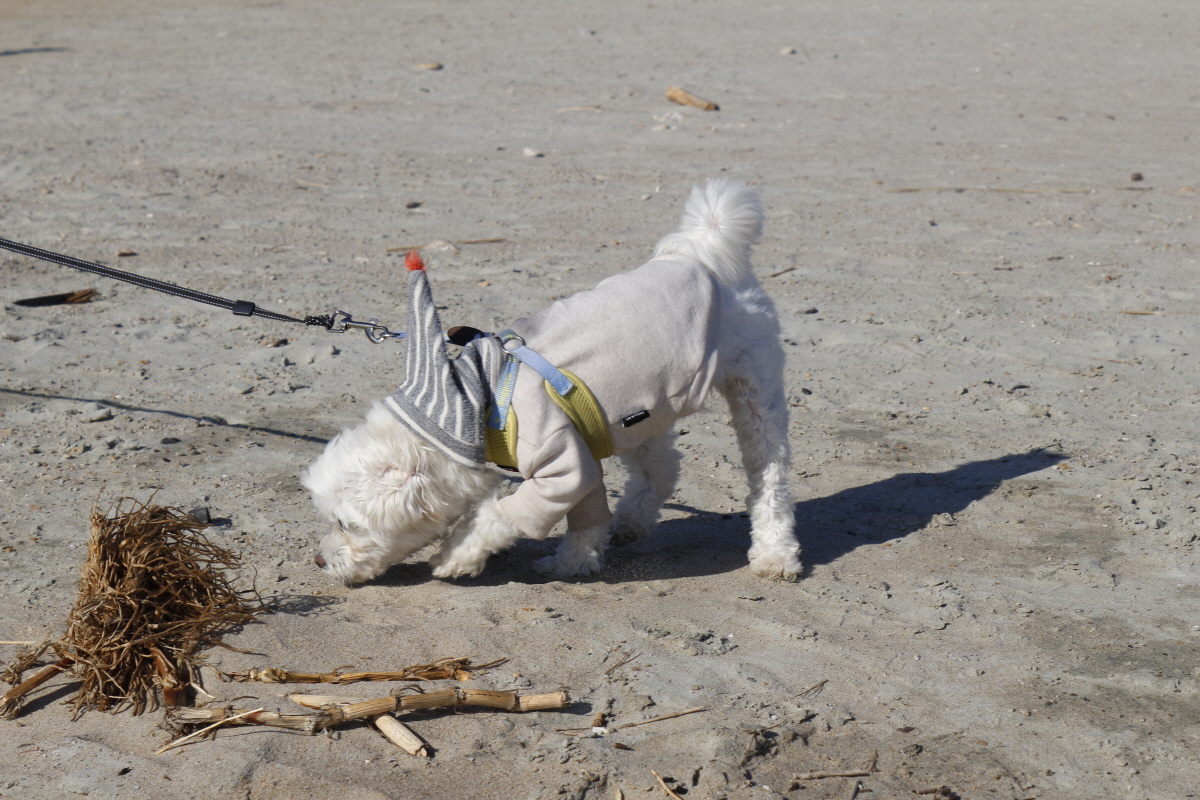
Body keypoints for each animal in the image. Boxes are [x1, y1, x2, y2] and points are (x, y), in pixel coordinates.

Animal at [303, 178, 800, 584]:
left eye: (347, 524)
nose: (320, 561)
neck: (475, 402)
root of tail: (697, 251)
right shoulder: (582, 449)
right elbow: (587, 514)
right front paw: (575, 562)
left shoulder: (561, 461)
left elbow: (502, 515)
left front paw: (458, 555)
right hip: (635, 411)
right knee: (661, 466)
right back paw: (632, 521)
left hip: (753, 392)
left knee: (769, 476)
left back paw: (775, 554)